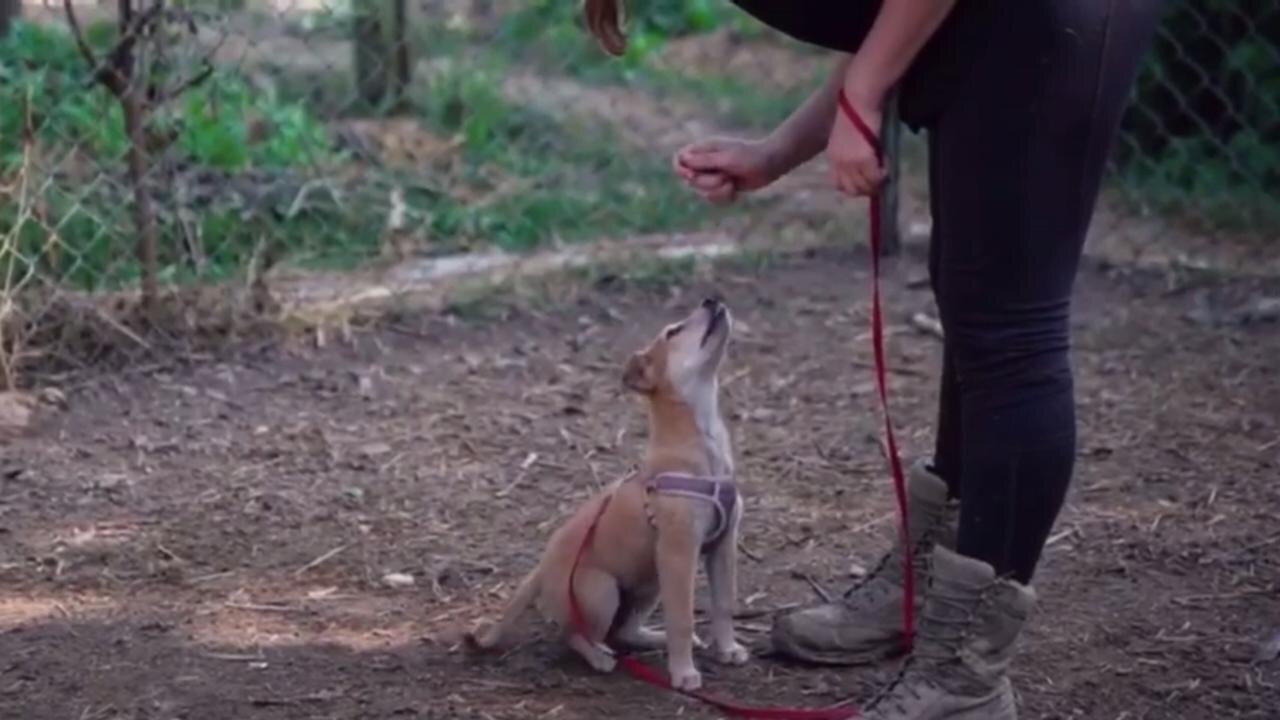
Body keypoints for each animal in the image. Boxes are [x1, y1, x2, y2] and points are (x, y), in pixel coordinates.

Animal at [468, 295, 747, 691]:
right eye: (673, 331)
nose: (712, 298)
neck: (704, 443)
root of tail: (540, 570)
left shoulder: (723, 546)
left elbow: (724, 604)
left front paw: (728, 649)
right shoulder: (679, 552)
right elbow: (682, 617)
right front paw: (684, 673)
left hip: (648, 584)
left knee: (625, 631)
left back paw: (652, 637)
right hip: (602, 590)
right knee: (574, 635)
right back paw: (599, 656)